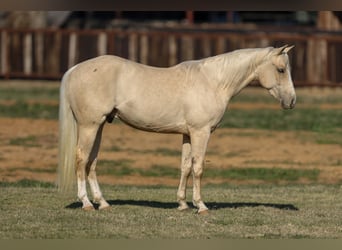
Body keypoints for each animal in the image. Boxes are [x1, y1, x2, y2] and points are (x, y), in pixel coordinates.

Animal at [57, 44, 296, 213]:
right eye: (281, 69)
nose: (292, 101)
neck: (213, 82)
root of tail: (75, 69)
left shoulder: (187, 134)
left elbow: (185, 167)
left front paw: (182, 204)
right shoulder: (201, 133)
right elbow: (198, 167)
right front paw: (200, 205)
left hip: (98, 127)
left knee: (92, 162)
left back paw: (102, 202)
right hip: (89, 126)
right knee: (81, 159)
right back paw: (87, 203)